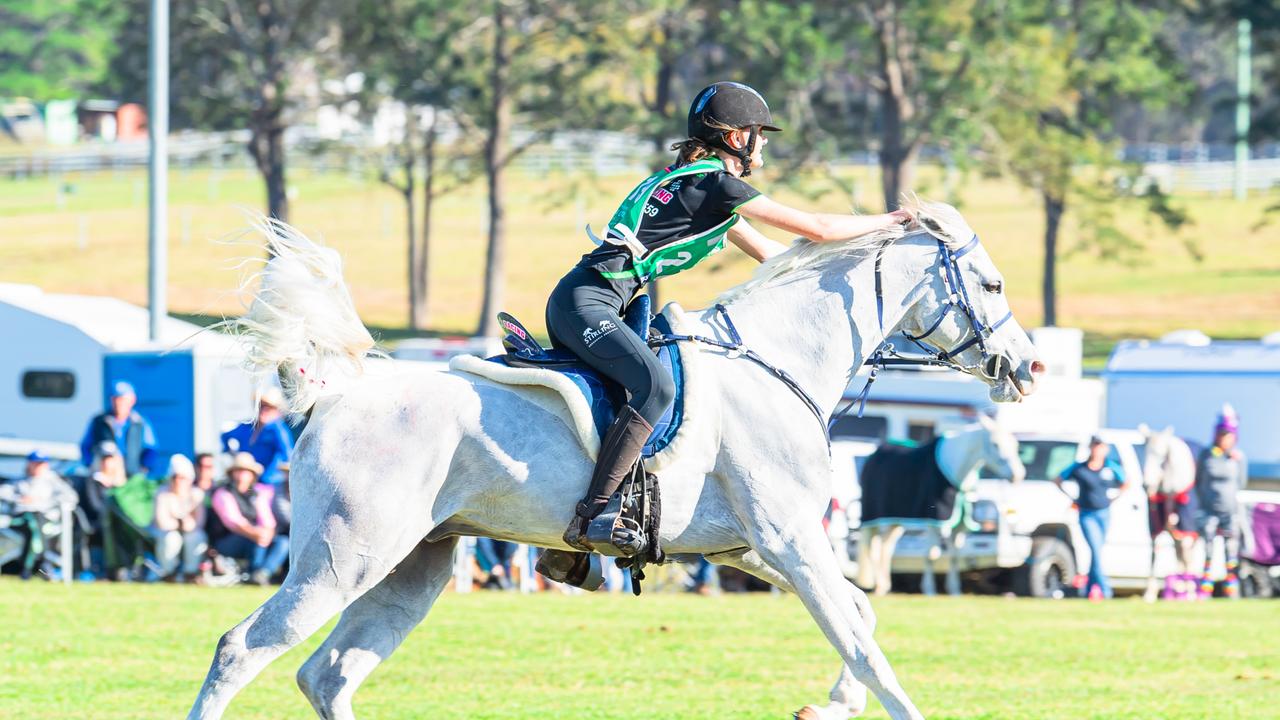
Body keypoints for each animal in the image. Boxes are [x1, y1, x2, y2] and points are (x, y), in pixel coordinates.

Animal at [855, 412, 1024, 597]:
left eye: (1016, 445)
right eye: (995, 444)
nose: (1018, 475)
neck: (957, 469)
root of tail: (873, 455)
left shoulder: (960, 525)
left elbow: (955, 555)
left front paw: (955, 590)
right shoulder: (934, 520)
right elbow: (931, 554)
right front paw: (929, 590)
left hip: (895, 520)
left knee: (886, 546)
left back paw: (885, 586)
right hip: (873, 517)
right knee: (872, 547)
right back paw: (878, 586)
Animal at [1141, 425, 1198, 599]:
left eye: (1161, 456)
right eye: (1145, 452)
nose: (1146, 485)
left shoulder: (1186, 522)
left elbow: (1186, 553)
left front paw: (1190, 592)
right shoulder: (1156, 520)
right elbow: (1154, 551)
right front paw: (1150, 592)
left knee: (1186, 553)